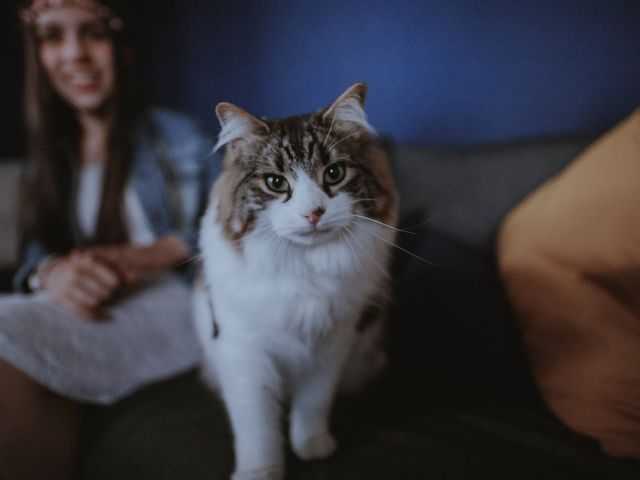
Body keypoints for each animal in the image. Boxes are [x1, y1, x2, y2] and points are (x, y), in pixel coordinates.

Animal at [192, 82, 398, 480]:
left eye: (333, 173)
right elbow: (257, 426)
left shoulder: (332, 343)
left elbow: (313, 404)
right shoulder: (244, 352)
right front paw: (260, 472)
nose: (313, 212)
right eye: (276, 182)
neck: (303, 269)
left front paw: (313, 447)